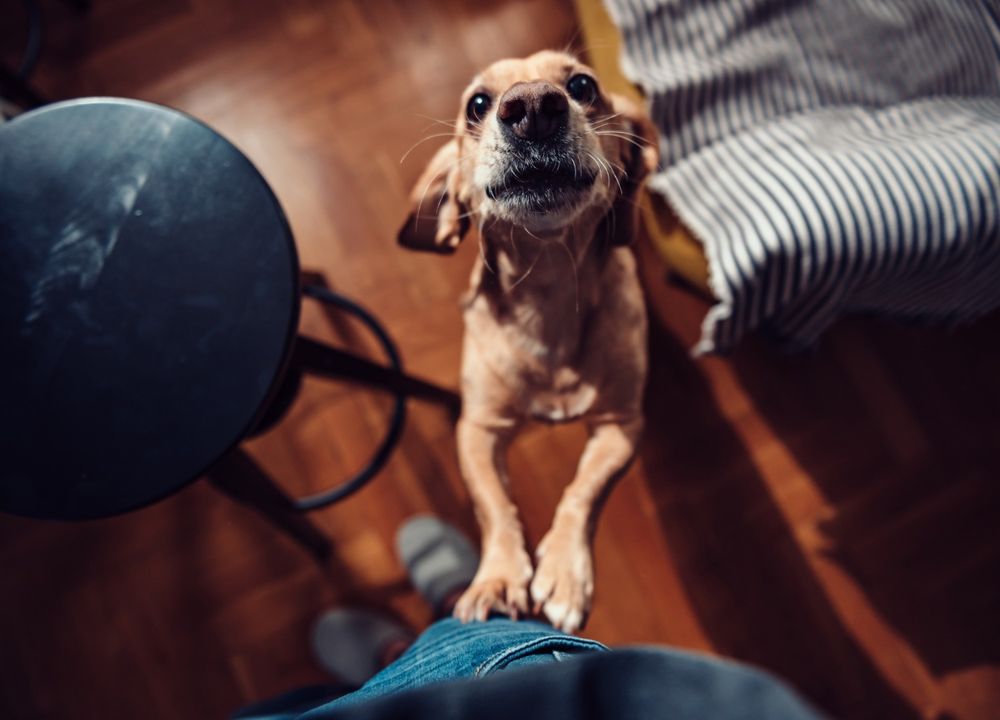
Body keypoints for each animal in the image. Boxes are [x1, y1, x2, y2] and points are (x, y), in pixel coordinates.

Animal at [394, 49, 660, 632]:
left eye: (582, 86)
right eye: (477, 104)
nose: (534, 107)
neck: (548, 294)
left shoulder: (622, 426)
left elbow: (584, 491)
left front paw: (564, 572)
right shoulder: (477, 430)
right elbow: (494, 506)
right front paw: (495, 579)